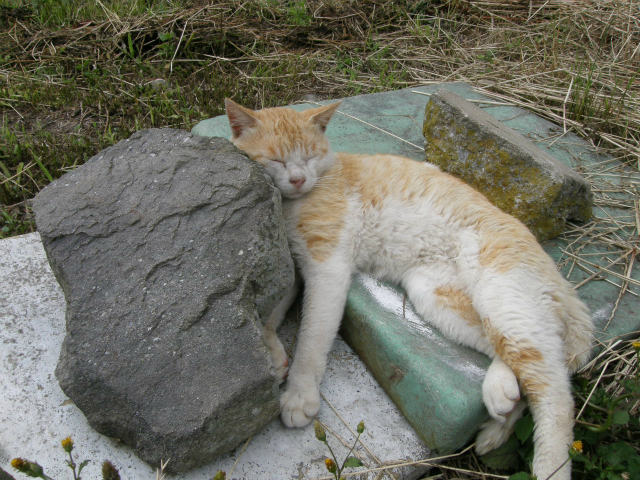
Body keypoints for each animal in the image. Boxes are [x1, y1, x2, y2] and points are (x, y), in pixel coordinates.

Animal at [225, 98, 596, 480]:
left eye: (310, 156)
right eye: (277, 160)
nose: (298, 179)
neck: (293, 203)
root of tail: (558, 276)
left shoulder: (327, 266)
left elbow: (311, 339)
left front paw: (299, 394)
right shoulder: (292, 264)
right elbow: (270, 309)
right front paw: (271, 351)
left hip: (504, 298)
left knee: (554, 388)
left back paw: (549, 466)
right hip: (437, 295)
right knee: (512, 358)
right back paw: (500, 407)